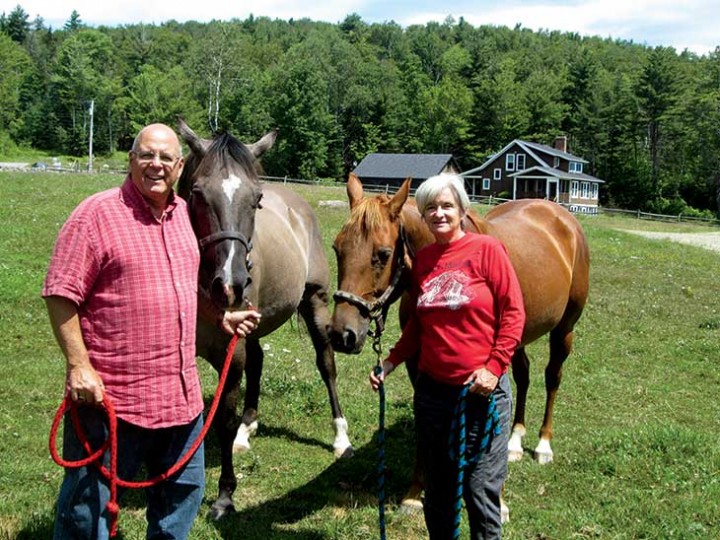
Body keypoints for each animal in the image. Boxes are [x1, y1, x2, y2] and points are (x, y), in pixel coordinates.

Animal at [177, 121, 352, 520]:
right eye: (196, 193)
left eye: (255, 200)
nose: (232, 283)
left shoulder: (231, 352)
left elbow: (224, 419)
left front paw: (225, 495)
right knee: (258, 362)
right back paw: (248, 427)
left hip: (314, 303)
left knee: (327, 364)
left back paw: (341, 436)